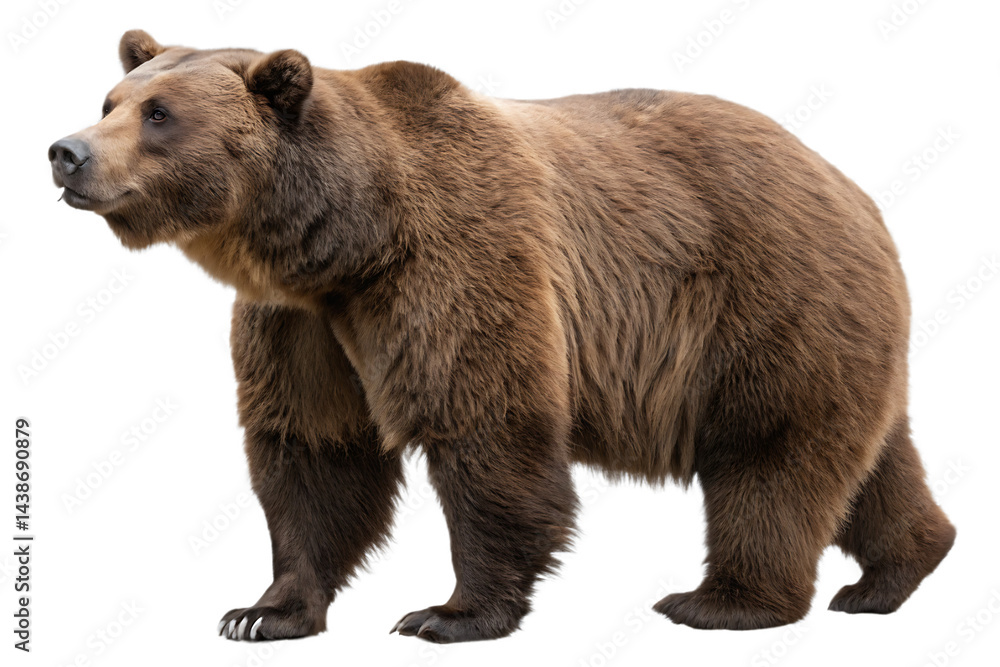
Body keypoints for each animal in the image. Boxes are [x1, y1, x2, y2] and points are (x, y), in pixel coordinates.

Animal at [48, 30, 955, 643]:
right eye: (111, 100)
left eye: (159, 113)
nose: (66, 152)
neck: (344, 240)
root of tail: (855, 190)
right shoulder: (301, 322)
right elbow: (314, 449)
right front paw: (262, 610)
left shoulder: (456, 259)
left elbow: (486, 427)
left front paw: (448, 610)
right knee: (871, 460)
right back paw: (896, 570)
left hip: (763, 300)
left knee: (769, 451)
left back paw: (723, 600)